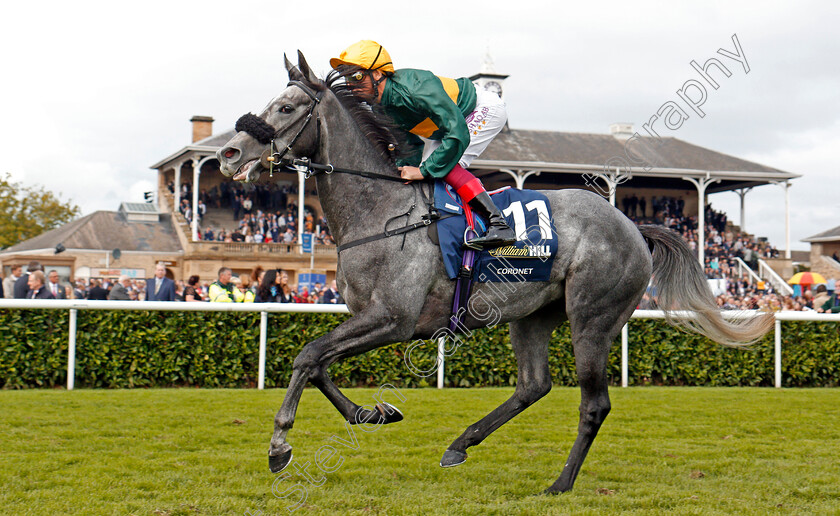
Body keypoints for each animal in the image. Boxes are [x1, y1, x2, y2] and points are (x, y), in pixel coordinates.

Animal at [217, 53, 776, 496]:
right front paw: (372, 413)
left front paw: (279, 446)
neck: (381, 211)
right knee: (533, 385)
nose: (228, 152)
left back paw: (559, 483)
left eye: (286, 108)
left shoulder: (393, 319)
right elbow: (317, 363)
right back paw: (460, 445)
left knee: (593, 404)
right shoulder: (364, 315)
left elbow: (309, 355)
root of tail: (632, 226)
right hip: (531, 315)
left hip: (592, 318)